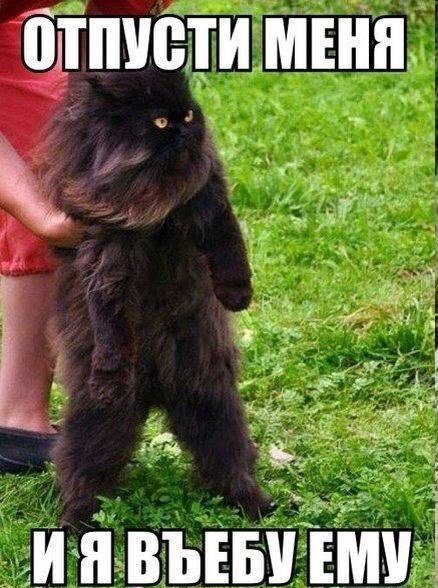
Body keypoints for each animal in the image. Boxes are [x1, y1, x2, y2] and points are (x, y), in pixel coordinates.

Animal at [36, 67, 273, 530]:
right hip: (104, 419)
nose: (186, 129)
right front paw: (110, 371)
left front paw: (237, 294)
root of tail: (155, 387)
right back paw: (75, 523)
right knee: (80, 471)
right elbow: (108, 316)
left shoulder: (209, 198)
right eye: (160, 122)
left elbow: (229, 244)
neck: (157, 197)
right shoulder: (106, 248)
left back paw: (256, 503)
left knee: (228, 461)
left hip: (210, 397)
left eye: (188, 113)